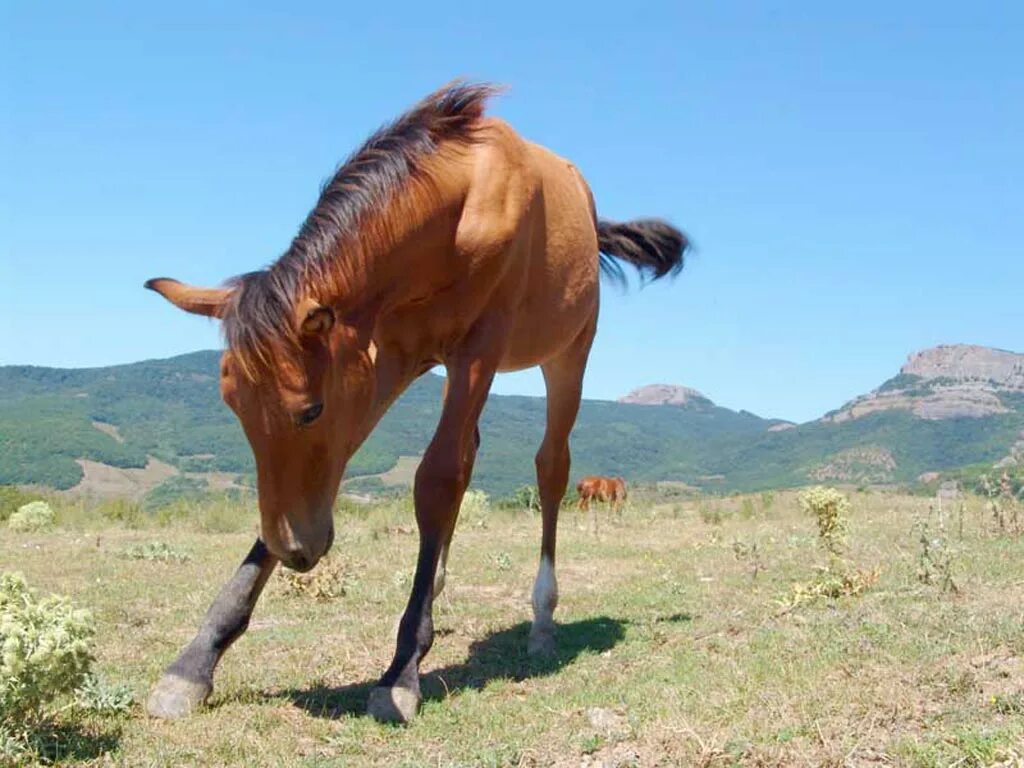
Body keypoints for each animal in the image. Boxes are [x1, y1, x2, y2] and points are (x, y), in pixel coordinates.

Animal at [142, 81, 688, 724]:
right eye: (234, 409)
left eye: (308, 411)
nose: (298, 553)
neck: (460, 200)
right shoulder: (378, 358)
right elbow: (348, 480)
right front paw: (195, 661)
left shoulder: (474, 349)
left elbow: (436, 479)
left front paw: (402, 669)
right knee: (471, 451)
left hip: (568, 354)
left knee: (550, 468)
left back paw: (542, 618)